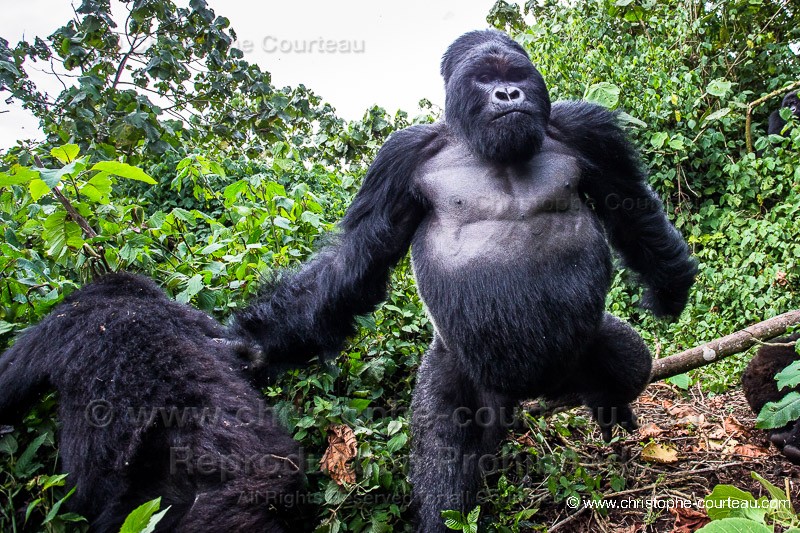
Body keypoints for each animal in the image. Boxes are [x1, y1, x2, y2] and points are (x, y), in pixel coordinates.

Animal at [236, 31, 692, 528]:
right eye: (485, 78)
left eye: (516, 75)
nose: (508, 94)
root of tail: (538, 391)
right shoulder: (400, 156)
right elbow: (354, 262)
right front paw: (257, 348)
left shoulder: (588, 128)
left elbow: (629, 205)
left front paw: (670, 288)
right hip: (466, 373)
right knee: (446, 462)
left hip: (580, 353)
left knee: (631, 362)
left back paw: (607, 402)